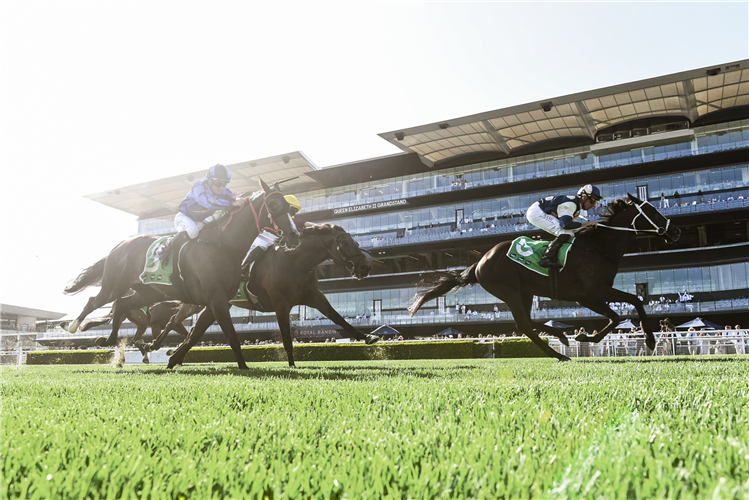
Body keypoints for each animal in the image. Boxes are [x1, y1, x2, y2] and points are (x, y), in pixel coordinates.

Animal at [63, 178, 298, 370]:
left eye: (290, 209)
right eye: (274, 205)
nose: (295, 236)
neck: (223, 245)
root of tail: (120, 245)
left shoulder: (216, 302)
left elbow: (196, 334)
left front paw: (172, 357)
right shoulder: (216, 299)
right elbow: (231, 336)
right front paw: (244, 368)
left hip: (149, 293)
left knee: (121, 305)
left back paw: (107, 340)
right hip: (115, 285)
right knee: (94, 301)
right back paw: (73, 326)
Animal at [158, 225, 380, 370]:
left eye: (356, 242)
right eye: (344, 242)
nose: (365, 267)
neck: (294, 262)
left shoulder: (314, 297)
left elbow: (338, 318)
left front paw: (368, 336)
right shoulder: (281, 303)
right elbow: (287, 338)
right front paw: (292, 365)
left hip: (215, 305)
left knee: (194, 332)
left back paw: (173, 358)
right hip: (203, 302)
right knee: (176, 322)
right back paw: (158, 346)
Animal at [410, 193, 676, 362]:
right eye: (650, 210)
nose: (675, 231)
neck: (599, 248)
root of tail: (480, 260)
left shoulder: (592, 295)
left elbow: (619, 313)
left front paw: (583, 335)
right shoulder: (589, 294)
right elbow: (629, 306)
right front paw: (649, 340)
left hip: (525, 292)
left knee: (526, 322)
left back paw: (561, 337)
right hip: (509, 291)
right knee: (524, 325)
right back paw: (559, 354)